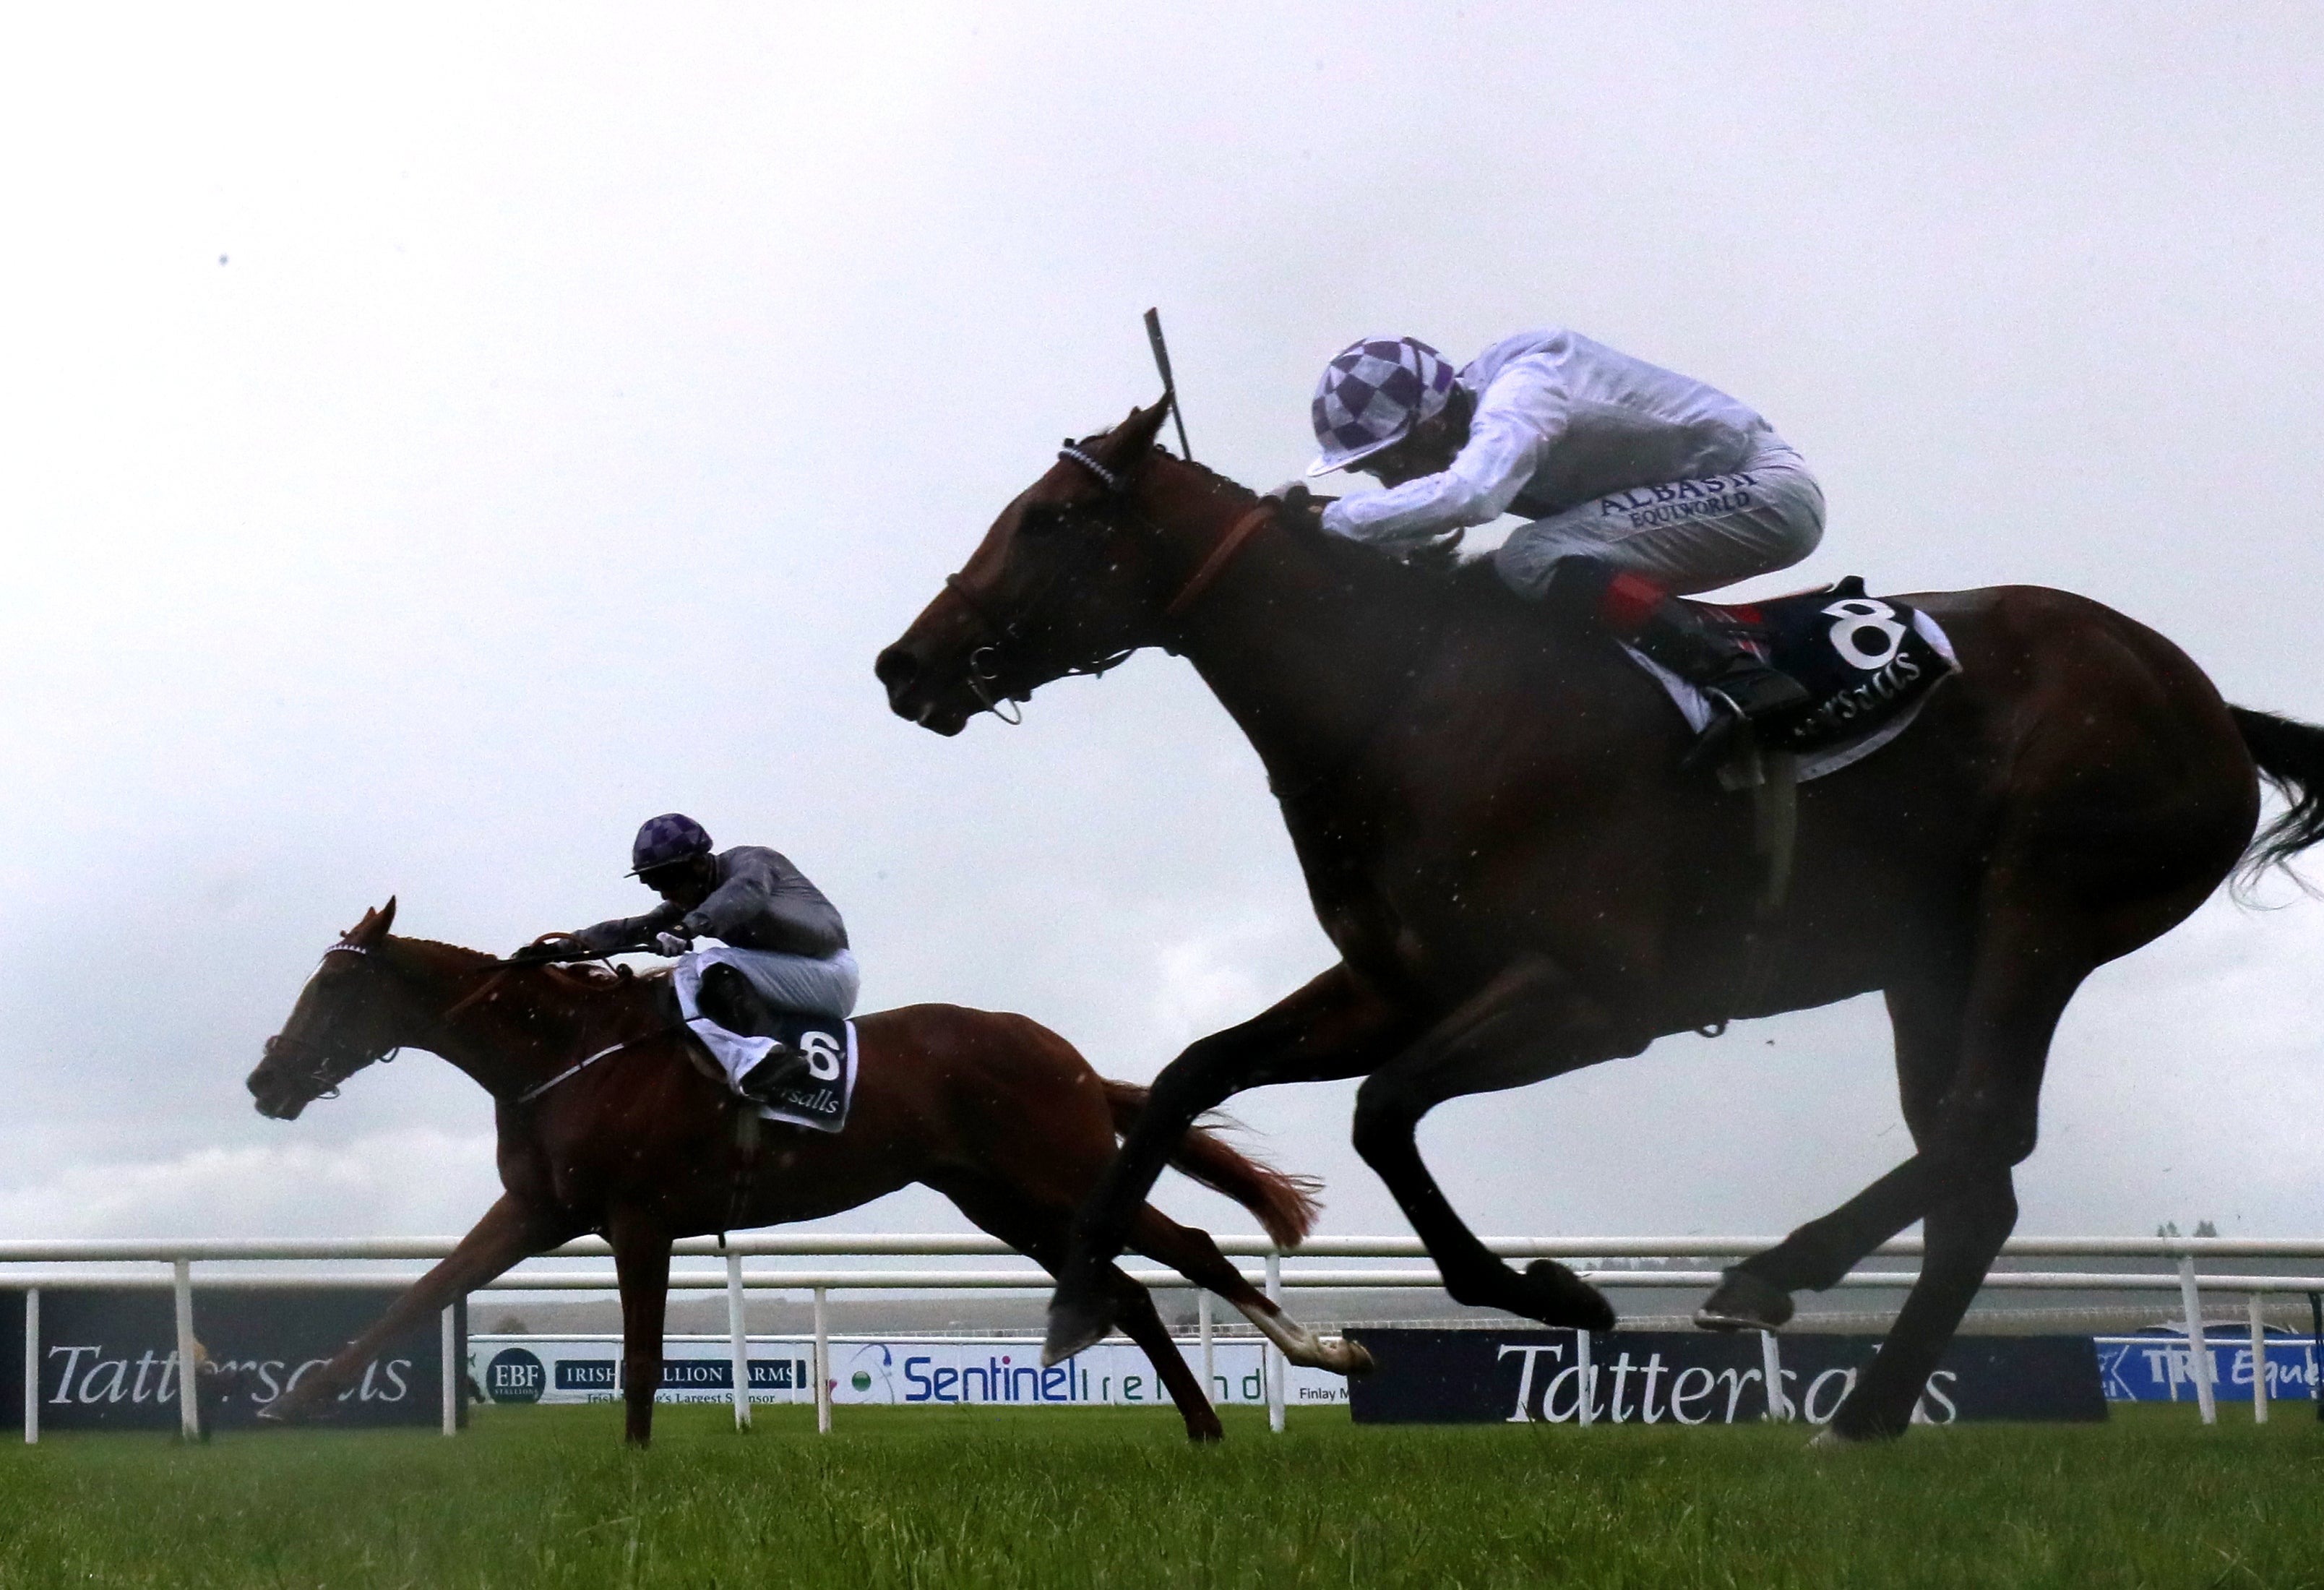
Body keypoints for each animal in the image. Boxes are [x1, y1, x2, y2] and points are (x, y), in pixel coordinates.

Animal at [245, 901, 1367, 1451]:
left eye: (334, 989)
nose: (266, 1079)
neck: (566, 1053)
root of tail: (1069, 1056)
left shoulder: (636, 1218)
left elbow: (642, 1358)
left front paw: (636, 1468)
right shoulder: (537, 1211)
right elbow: (418, 1294)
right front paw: (296, 1401)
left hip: (1059, 1170)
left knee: (1193, 1248)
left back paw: (1322, 1351)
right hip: (1004, 1199)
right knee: (1131, 1289)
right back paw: (1206, 1427)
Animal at [874, 395, 2324, 1441]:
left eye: (1051, 517)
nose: (905, 663)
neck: (1403, 694)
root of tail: (2203, 697)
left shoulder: (1598, 994)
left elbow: (1383, 1115)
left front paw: (1544, 1288)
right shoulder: (1399, 981)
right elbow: (1189, 1076)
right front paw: (1078, 1293)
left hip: (2044, 909)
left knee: (1980, 1139)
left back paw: (1803, 1332)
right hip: (1931, 962)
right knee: (1982, 1175)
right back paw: (1832, 1371)